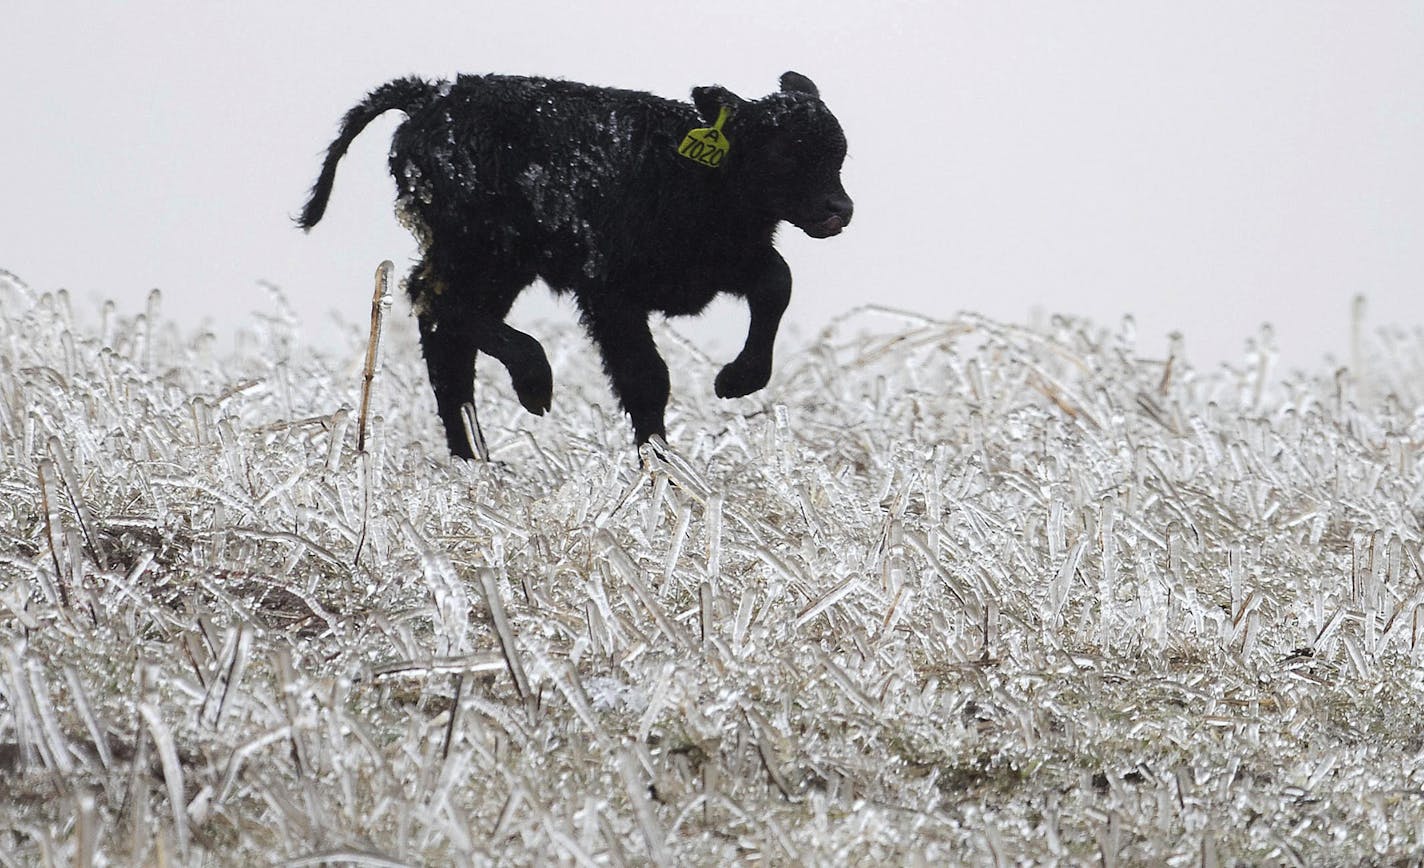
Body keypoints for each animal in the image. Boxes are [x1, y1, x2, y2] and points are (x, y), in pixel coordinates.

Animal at [300, 71, 848, 455]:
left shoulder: (730, 263)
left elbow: (778, 283)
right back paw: (532, 384)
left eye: (839, 152)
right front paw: (664, 476)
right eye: (783, 151)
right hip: (478, 249)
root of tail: (431, 95)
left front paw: (736, 380)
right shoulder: (609, 293)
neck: (685, 172)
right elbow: (647, 379)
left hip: (499, 267)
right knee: (434, 303)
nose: (839, 210)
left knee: (451, 341)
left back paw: (474, 457)